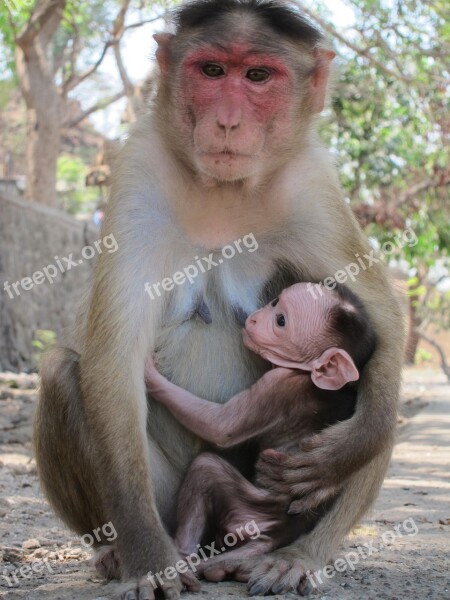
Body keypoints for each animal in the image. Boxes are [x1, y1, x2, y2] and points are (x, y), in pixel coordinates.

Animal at [147, 282, 376, 564]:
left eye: (281, 321)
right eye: (274, 302)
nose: (254, 318)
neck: (304, 373)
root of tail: (277, 532)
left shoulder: (280, 384)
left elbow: (222, 427)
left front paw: (151, 376)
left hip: (251, 511)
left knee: (206, 468)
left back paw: (182, 554)